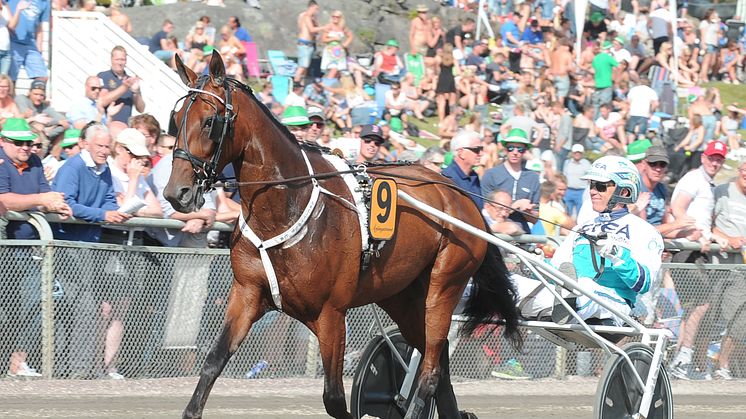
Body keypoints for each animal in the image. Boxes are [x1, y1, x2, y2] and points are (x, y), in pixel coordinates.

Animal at [166, 51, 520, 419]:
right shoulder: (247, 293)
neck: (287, 207)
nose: (176, 192)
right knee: (437, 362)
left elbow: (334, 397)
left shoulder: (331, 314)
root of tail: (462, 196)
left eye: (209, 121)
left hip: (444, 285)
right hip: (402, 295)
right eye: (175, 119)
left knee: (431, 370)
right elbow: (212, 362)